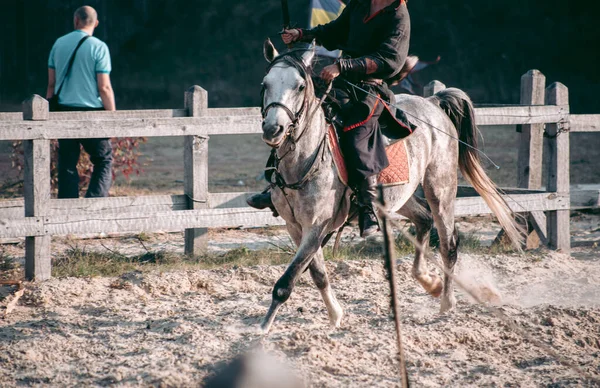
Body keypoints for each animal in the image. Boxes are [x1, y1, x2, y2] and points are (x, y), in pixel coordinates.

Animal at [260, 41, 524, 334]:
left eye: (299, 86)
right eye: (265, 84)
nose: (273, 128)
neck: (306, 159)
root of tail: (433, 103)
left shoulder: (317, 226)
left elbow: (286, 282)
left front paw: (262, 328)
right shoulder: (295, 227)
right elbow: (316, 272)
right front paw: (335, 315)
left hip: (440, 189)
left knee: (448, 243)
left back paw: (447, 302)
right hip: (400, 196)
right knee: (423, 220)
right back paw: (429, 282)